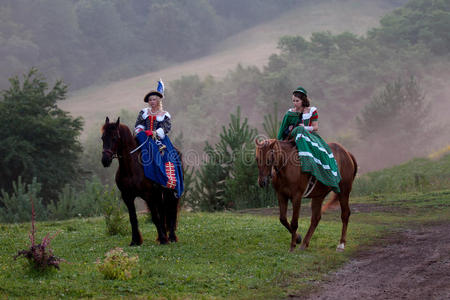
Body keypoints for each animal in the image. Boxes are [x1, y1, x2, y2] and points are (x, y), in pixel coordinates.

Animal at [101, 117, 180, 246]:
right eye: (102, 137)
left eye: (115, 137)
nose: (105, 160)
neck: (131, 169)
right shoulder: (127, 197)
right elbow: (133, 218)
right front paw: (135, 241)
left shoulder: (148, 195)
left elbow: (154, 217)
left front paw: (163, 239)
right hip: (159, 194)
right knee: (163, 211)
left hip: (171, 192)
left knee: (172, 211)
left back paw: (171, 237)